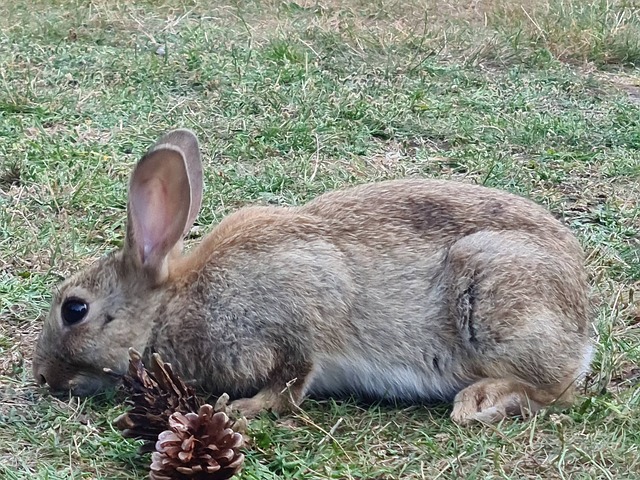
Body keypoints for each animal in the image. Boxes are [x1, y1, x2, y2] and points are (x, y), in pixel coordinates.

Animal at [33, 128, 596, 424]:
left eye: (75, 309)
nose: (40, 376)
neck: (173, 304)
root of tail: (582, 325)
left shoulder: (293, 316)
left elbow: (291, 380)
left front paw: (241, 408)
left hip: (496, 303)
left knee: (558, 388)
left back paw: (481, 401)